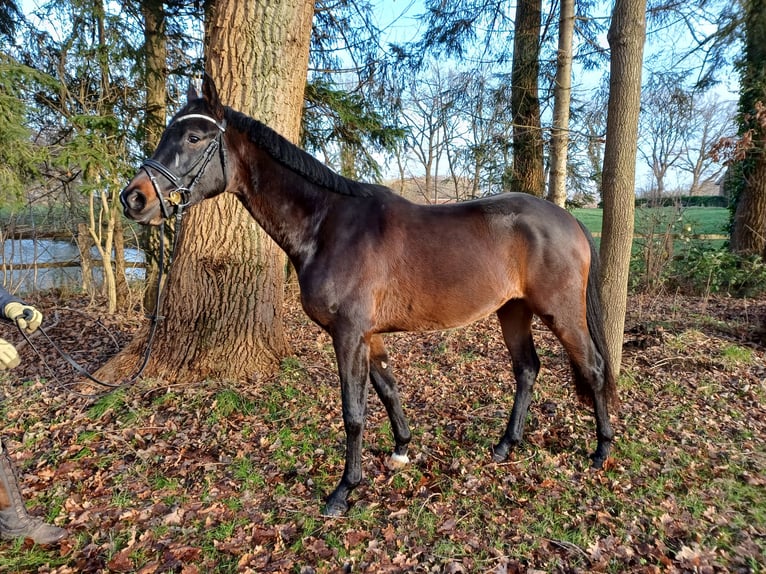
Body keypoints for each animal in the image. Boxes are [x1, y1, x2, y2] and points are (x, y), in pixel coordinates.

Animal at [123, 76, 620, 516]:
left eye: (193, 136)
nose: (134, 198)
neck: (327, 226)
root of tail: (570, 220)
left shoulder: (347, 334)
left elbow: (353, 412)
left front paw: (343, 490)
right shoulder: (369, 334)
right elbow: (387, 388)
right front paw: (401, 450)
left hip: (559, 312)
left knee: (593, 368)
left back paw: (600, 450)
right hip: (512, 310)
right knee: (527, 370)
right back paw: (505, 444)